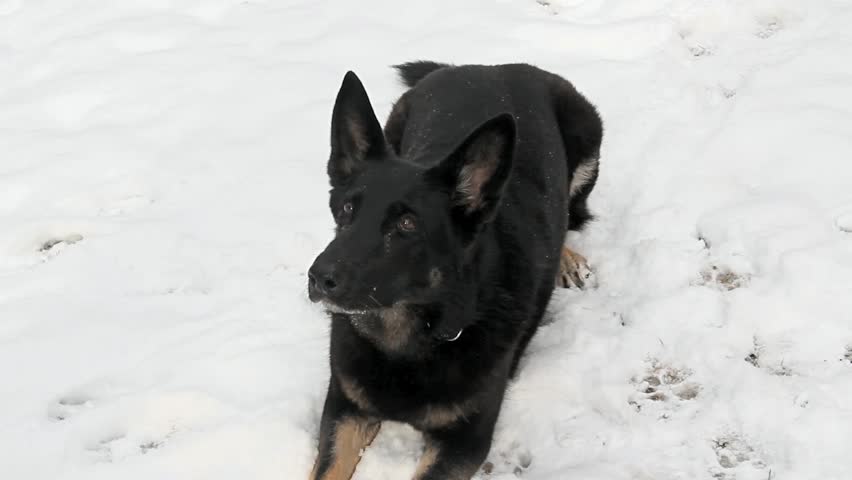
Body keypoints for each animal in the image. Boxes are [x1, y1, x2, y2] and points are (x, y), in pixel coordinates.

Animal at [310, 62, 604, 478]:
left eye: (407, 225)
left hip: (587, 139)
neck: (408, 340)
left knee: (570, 213)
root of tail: (489, 67)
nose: (319, 278)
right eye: (347, 210)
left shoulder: (466, 441)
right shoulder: (344, 409)